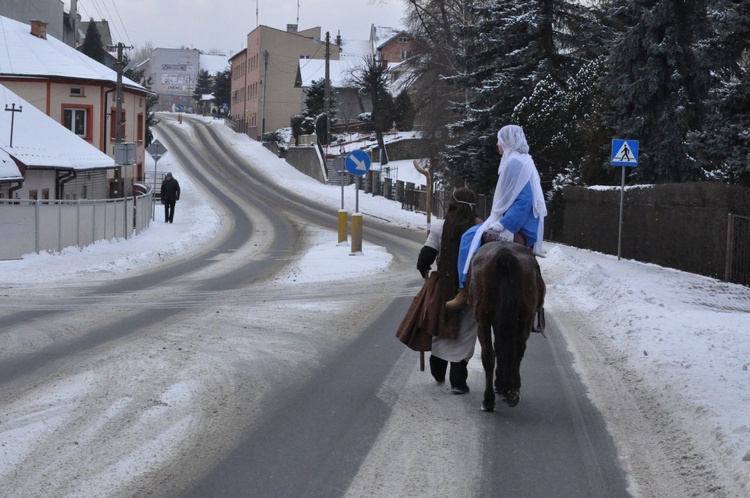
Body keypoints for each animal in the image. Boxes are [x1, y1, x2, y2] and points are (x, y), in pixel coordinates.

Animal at [470, 241, 548, 412]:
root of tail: (504, 255)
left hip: (483, 319)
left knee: (489, 353)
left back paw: (489, 399)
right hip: (524, 319)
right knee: (517, 349)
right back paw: (512, 390)